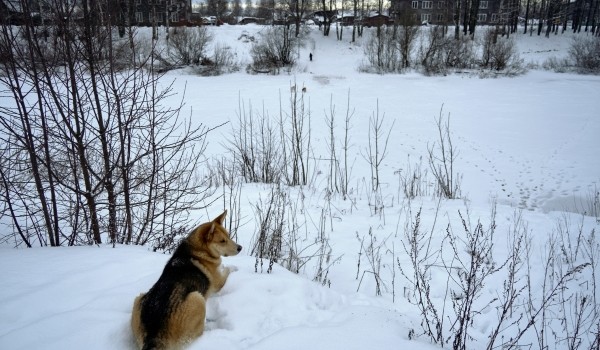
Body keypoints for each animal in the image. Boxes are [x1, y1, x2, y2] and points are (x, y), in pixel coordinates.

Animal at [131, 211, 241, 350]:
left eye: (229, 236)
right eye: (222, 241)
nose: (240, 248)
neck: (199, 251)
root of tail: (154, 337)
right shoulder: (219, 283)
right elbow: (227, 270)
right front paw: (234, 267)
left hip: (139, 298)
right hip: (198, 298)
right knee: (198, 333)